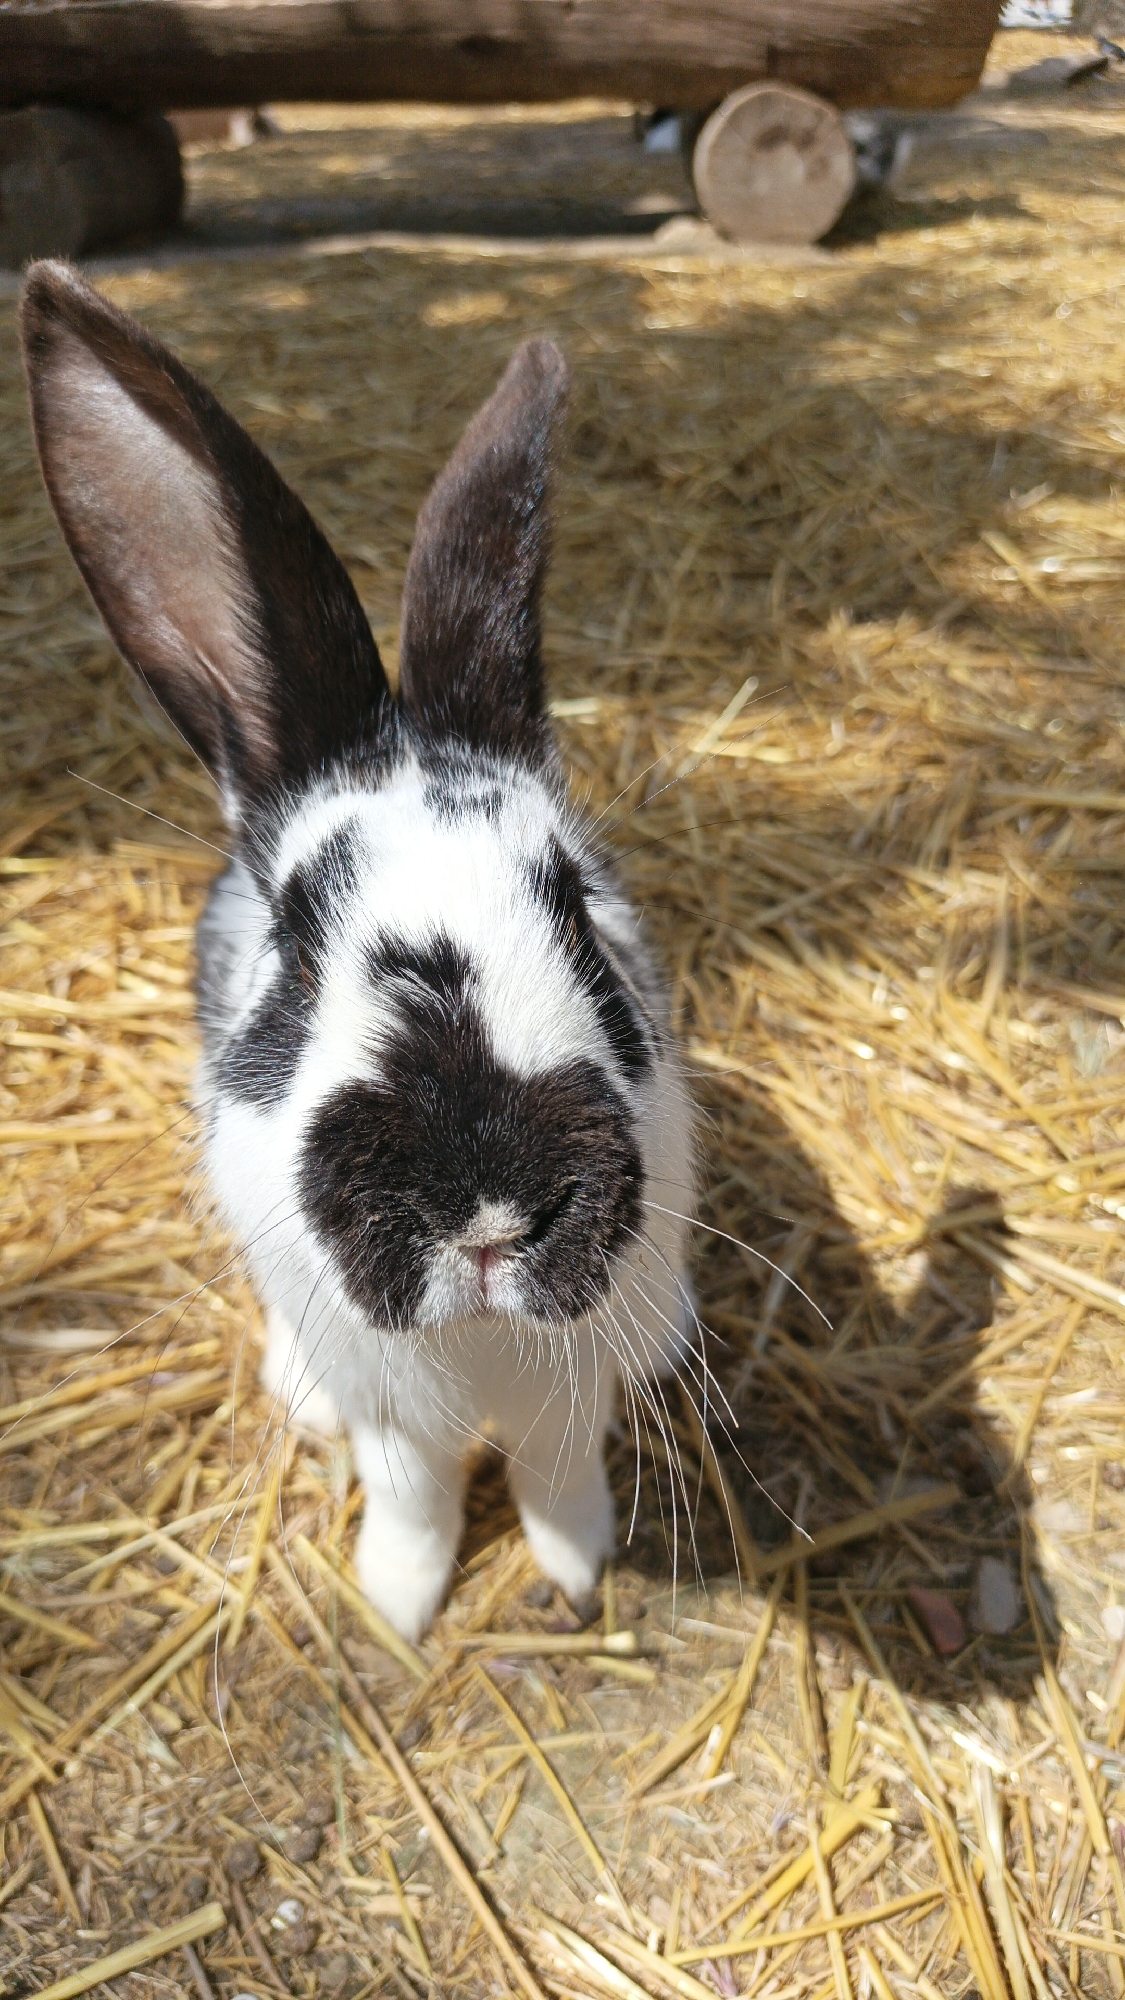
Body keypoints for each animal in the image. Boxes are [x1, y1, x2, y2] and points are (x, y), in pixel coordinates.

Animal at [20, 261, 696, 1641]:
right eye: (295, 933)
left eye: (574, 907)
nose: (487, 1209)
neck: (482, 1342)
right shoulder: (394, 1413)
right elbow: (418, 1498)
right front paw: (400, 1604)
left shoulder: (570, 1389)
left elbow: (556, 1472)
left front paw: (575, 1569)